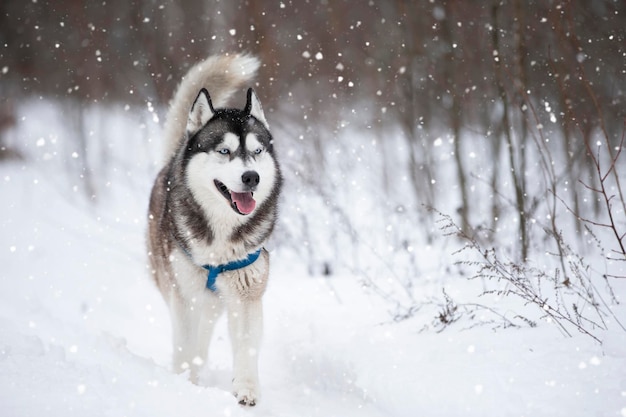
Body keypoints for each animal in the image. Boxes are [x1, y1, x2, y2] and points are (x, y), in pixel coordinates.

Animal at [146, 53, 280, 404]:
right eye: (224, 151)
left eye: (257, 151)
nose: (251, 177)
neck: (219, 236)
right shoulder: (184, 293)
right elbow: (185, 345)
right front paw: (185, 383)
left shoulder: (246, 292)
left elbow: (246, 344)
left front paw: (246, 389)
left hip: (215, 301)